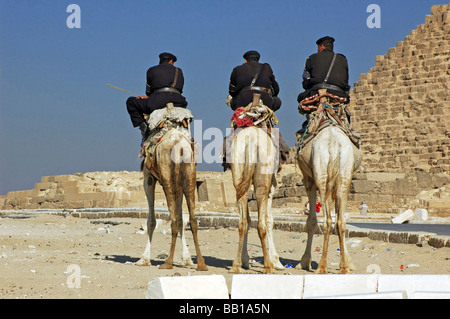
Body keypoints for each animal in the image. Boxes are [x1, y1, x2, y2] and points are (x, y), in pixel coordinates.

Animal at [135, 104, 209, 272]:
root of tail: (179, 147)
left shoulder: (148, 179)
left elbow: (151, 221)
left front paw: (144, 259)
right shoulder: (179, 184)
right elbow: (182, 219)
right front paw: (187, 259)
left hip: (167, 178)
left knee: (174, 220)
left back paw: (168, 262)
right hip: (189, 176)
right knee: (192, 219)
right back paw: (201, 263)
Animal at [229, 95, 284, 276]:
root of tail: (251, 142)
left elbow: (247, 219)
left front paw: (245, 261)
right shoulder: (271, 188)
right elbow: (269, 220)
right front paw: (277, 261)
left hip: (239, 172)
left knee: (242, 221)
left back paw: (236, 265)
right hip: (262, 180)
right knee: (261, 223)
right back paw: (268, 266)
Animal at [296, 89, 362, 276]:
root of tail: (334, 143)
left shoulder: (309, 179)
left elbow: (311, 221)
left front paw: (304, 261)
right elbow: (340, 218)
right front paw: (349, 262)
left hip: (321, 177)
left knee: (326, 221)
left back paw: (322, 266)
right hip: (343, 178)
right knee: (340, 221)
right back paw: (344, 267)